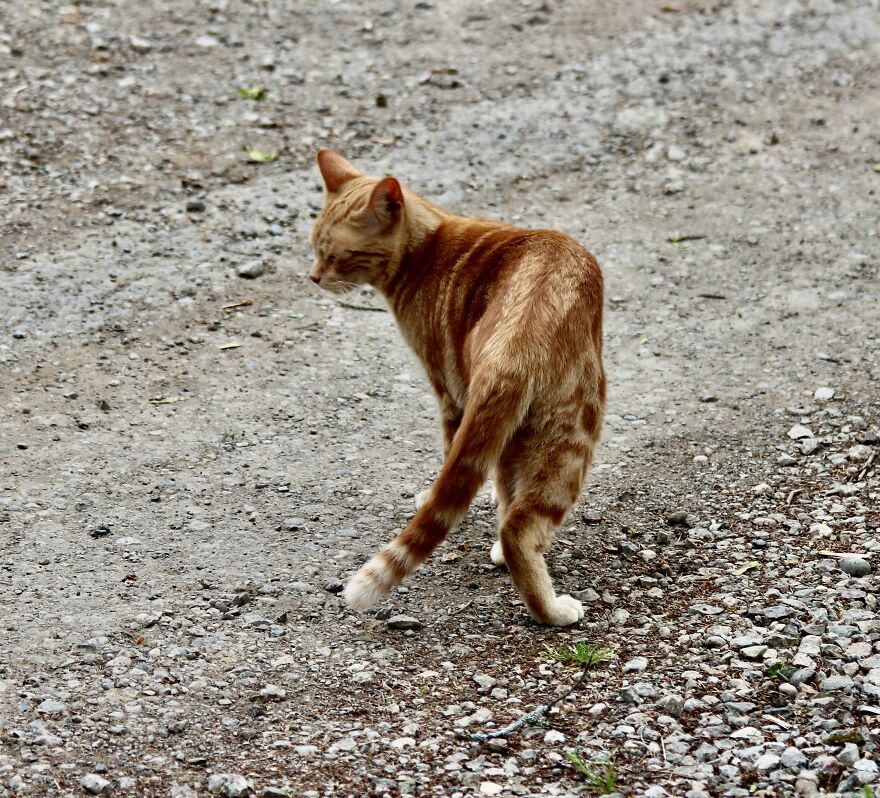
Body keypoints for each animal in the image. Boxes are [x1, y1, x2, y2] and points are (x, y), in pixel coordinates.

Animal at [310, 150, 604, 624]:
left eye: (337, 254)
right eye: (315, 249)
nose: (314, 276)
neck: (426, 248)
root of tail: (517, 338)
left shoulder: (448, 390)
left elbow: (452, 457)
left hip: (564, 434)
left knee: (517, 525)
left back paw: (550, 610)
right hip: (542, 437)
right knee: (515, 519)